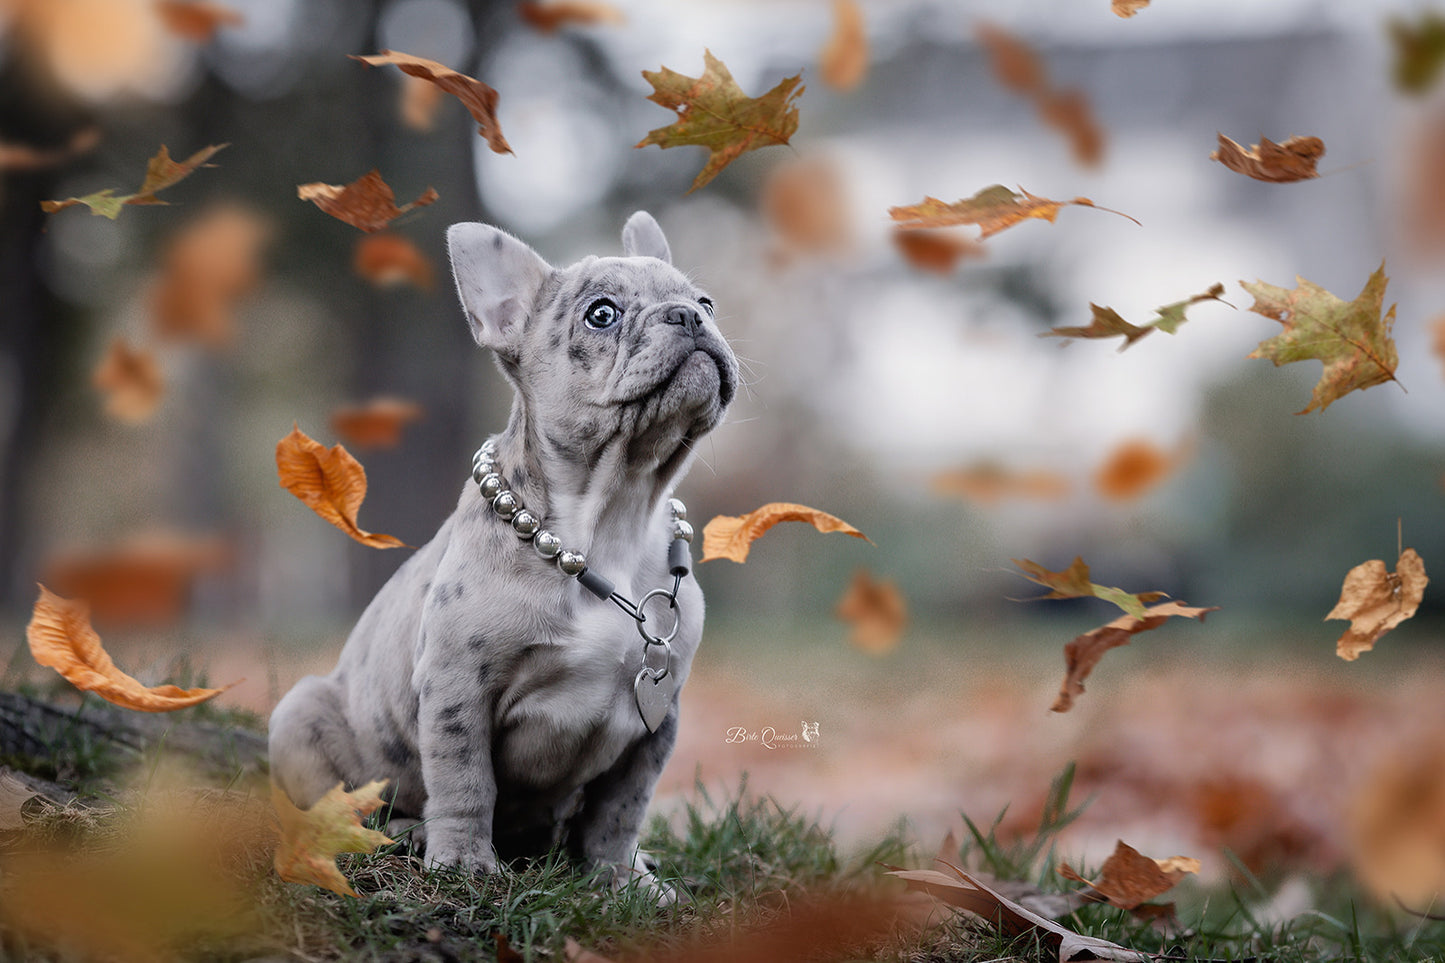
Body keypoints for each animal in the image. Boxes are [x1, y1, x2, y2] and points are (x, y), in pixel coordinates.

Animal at [271, 214, 739, 890]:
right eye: (601, 315)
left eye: (707, 302)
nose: (688, 316)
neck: (614, 515)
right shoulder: (458, 684)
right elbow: (465, 779)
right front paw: (464, 860)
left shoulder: (657, 715)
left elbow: (622, 807)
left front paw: (621, 877)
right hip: (301, 713)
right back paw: (408, 833)